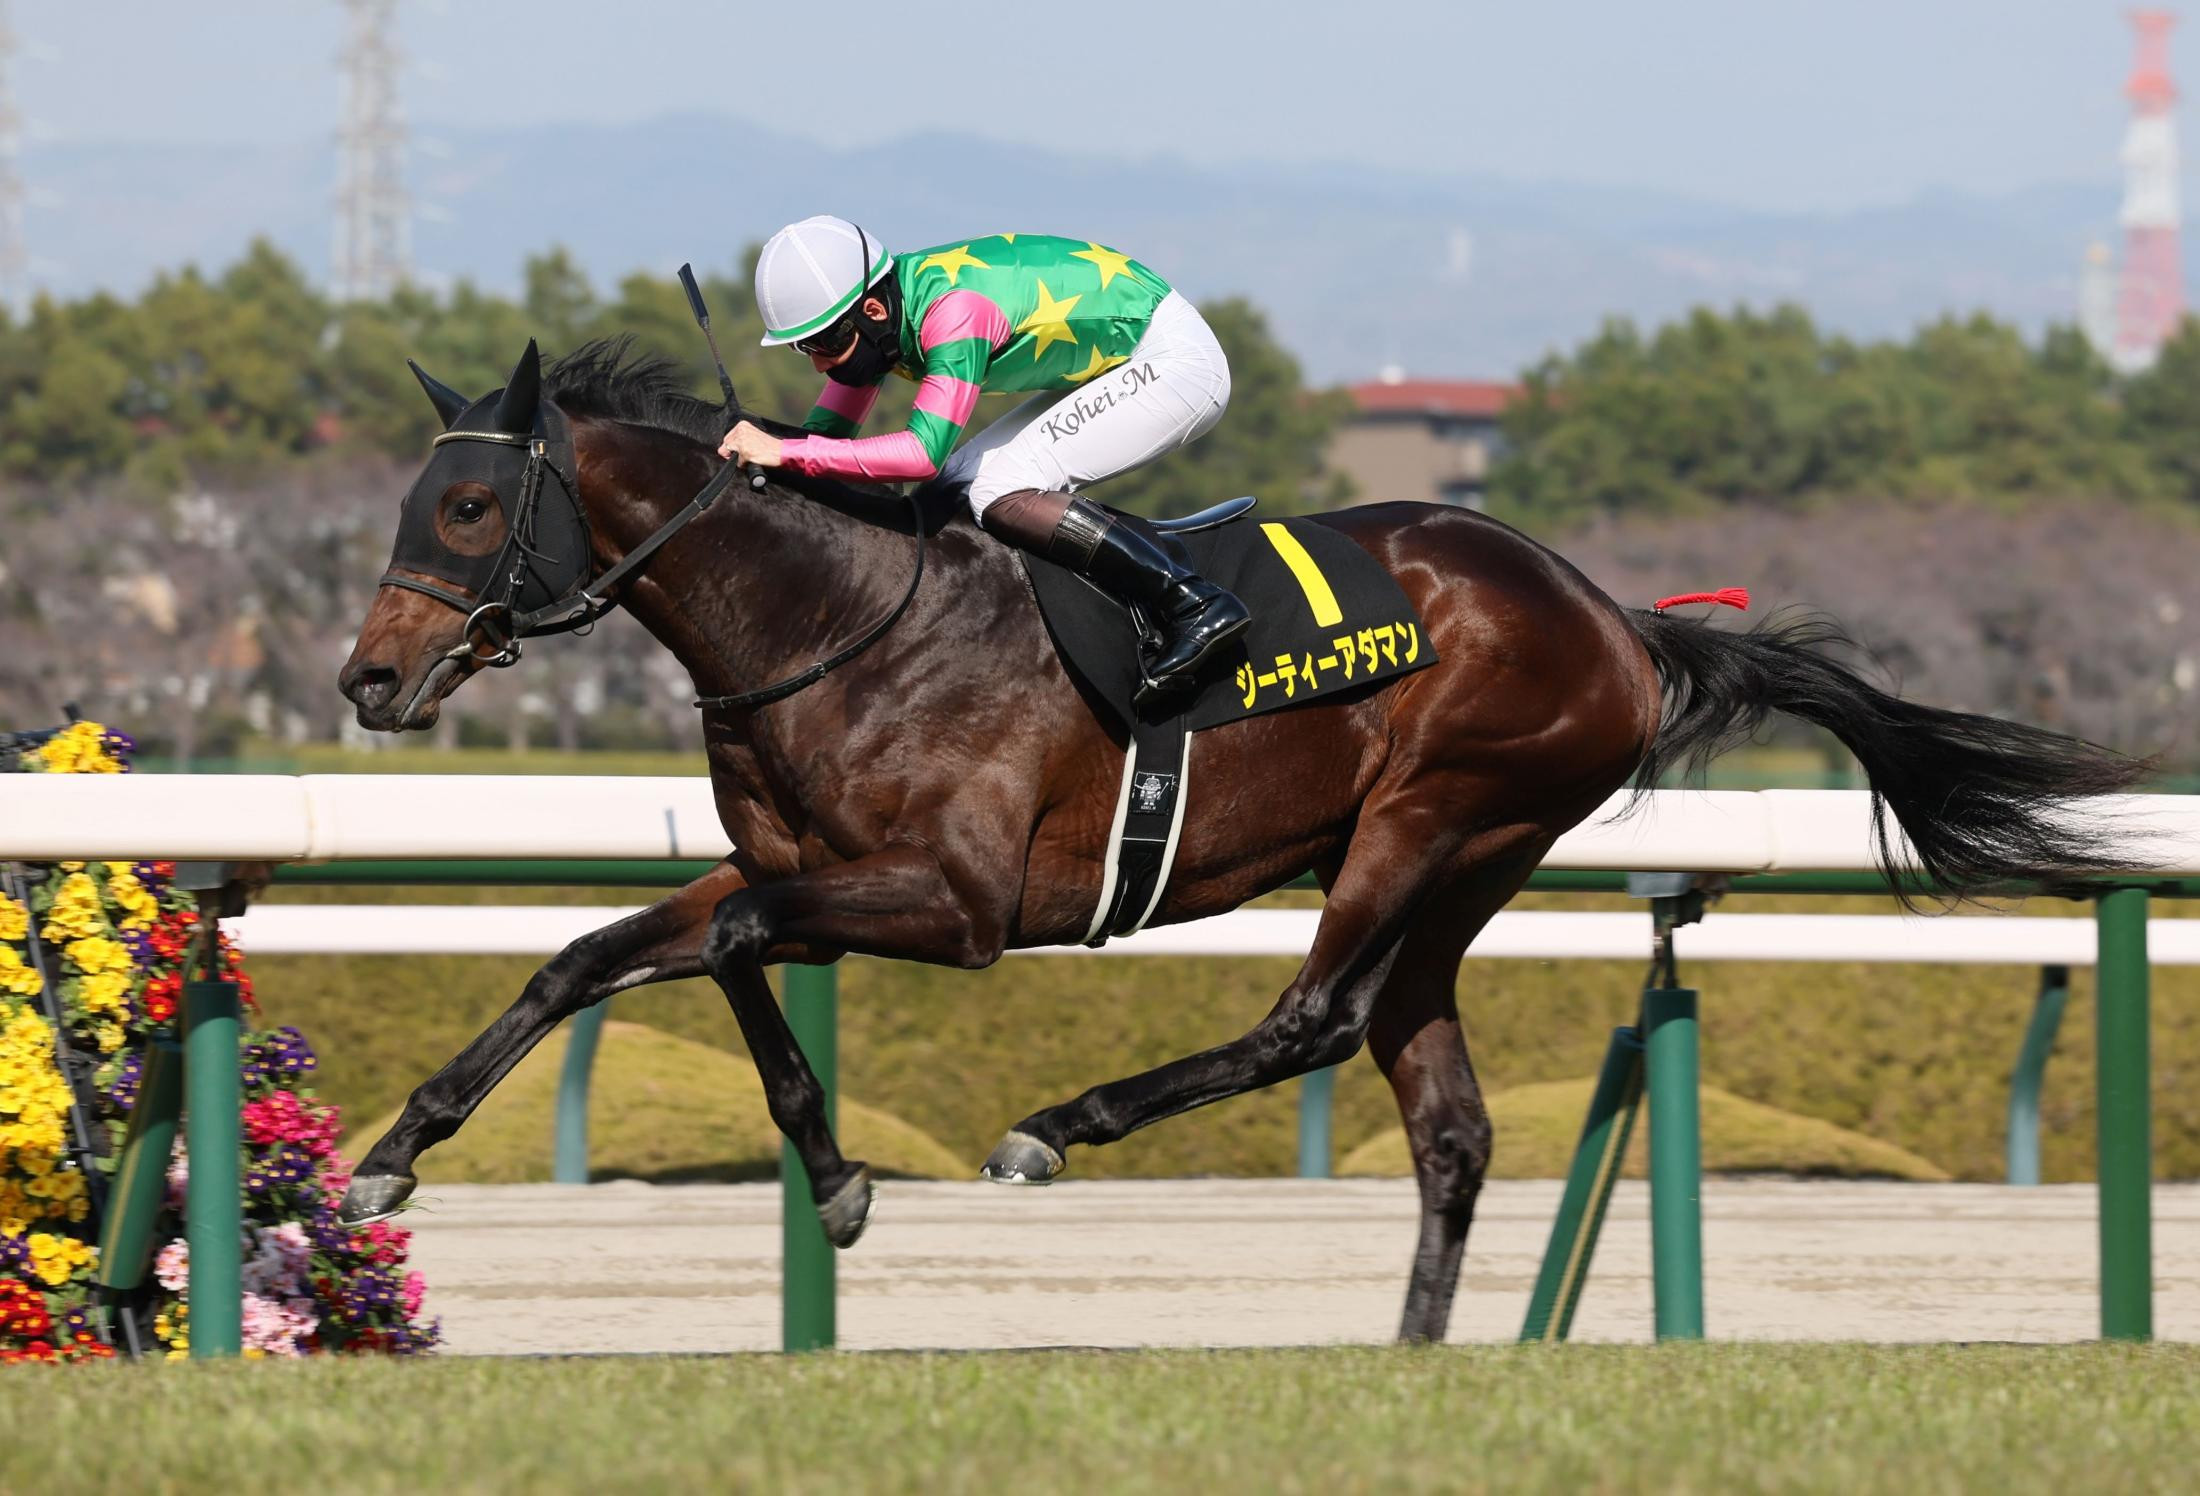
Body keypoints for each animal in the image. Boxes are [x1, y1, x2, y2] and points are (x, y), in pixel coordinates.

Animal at [330, 341, 2129, 1346]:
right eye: (412, 509)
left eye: (470, 511)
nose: (368, 679)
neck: (836, 615)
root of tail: (1617, 615)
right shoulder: (787, 860)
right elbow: (600, 953)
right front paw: (393, 1148)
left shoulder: (955, 901)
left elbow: (727, 948)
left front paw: (840, 1180)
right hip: (1461, 874)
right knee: (1447, 1121)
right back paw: (1408, 1359)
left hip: (1431, 815)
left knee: (1311, 1020)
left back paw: (1059, 1126)